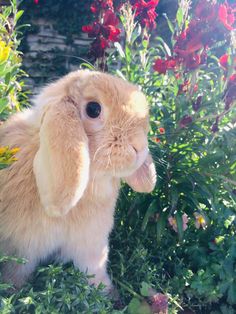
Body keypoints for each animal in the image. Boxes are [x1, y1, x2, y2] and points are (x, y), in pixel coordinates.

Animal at [0, 70, 157, 292]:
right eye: (93, 109)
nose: (140, 147)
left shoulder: (90, 245)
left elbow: (93, 270)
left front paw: (106, 292)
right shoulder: (21, 247)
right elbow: (15, 272)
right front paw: (13, 291)